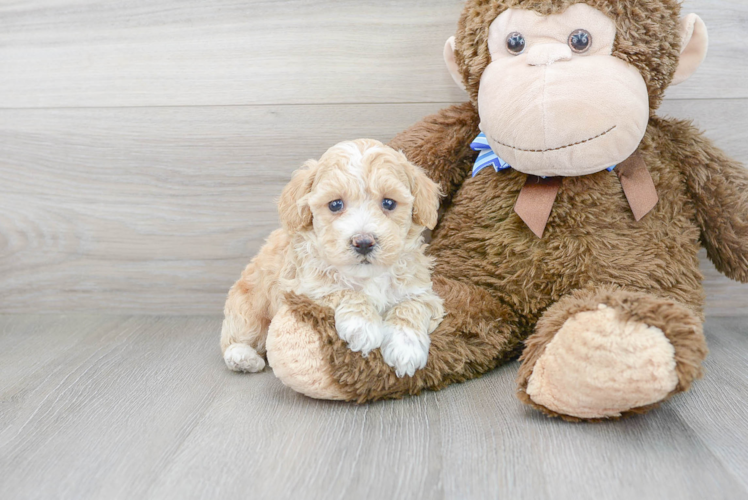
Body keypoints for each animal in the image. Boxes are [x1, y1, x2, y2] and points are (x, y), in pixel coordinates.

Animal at [221, 139, 444, 376]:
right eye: (335, 204)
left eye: (389, 203)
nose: (363, 242)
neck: (367, 277)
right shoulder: (303, 290)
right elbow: (342, 291)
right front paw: (362, 325)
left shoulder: (423, 292)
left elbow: (411, 306)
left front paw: (406, 347)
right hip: (248, 308)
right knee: (235, 337)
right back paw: (243, 357)